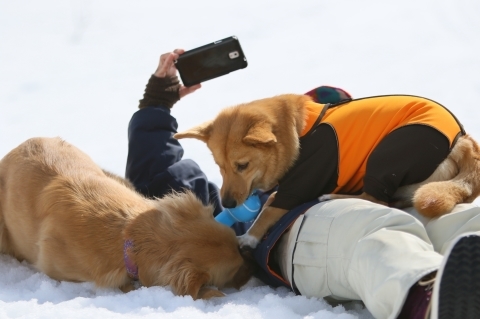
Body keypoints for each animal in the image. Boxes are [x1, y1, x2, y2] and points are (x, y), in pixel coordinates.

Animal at [174, 94, 480, 249]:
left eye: (242, 165)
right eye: (219, 166)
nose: (226, 203)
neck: (298, 131)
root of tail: (461, 139)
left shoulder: (303, 181)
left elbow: (270, 208)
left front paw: (249, 237)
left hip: (387, 155)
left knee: (377, 198)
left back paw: (333, 197)